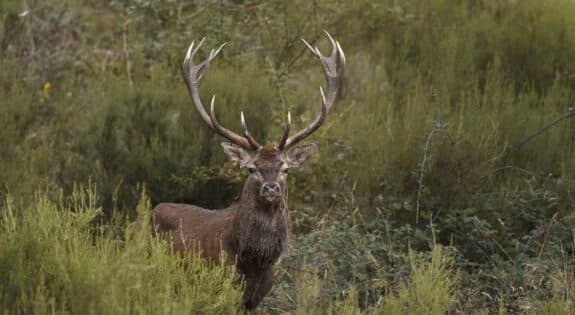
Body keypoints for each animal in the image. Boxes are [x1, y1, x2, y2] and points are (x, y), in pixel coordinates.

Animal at [151, 32, 344, 312]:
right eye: (252, 168)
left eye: (286, 169)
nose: (271, 187)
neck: (253, 262)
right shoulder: (219, 284)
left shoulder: (256, 297)